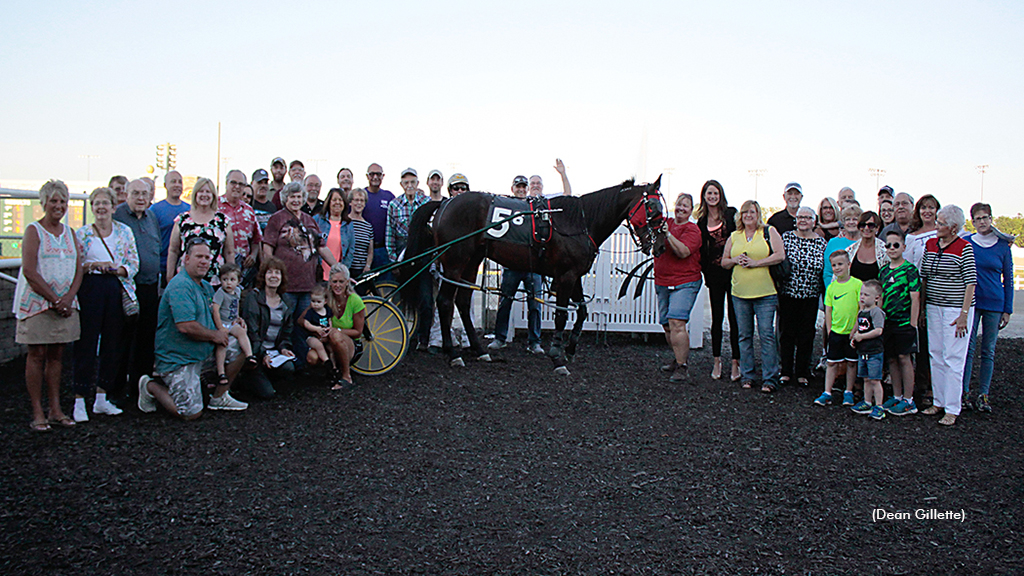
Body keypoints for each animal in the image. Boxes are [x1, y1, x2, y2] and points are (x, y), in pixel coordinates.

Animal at [395, 176, 667, 373]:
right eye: (652, 207)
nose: (661, 246)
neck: (579, 222)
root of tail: (444, 203)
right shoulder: (565, 276)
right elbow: (561, 315)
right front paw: (558, 358)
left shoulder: (575, 276)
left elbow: (581, 311)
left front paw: (570, 348)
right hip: (454, 262)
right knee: (445, 302)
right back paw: (453, 354)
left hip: (472, 262)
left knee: (461, 301)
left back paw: (480, 350)